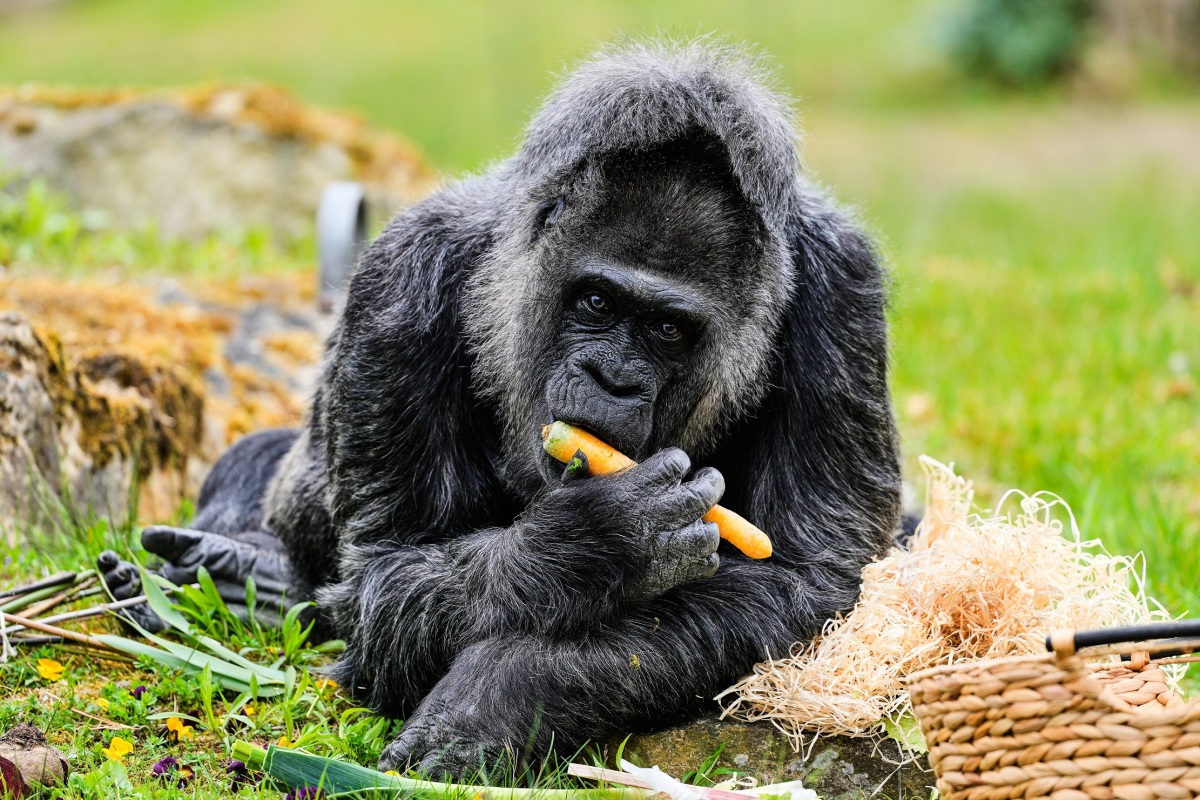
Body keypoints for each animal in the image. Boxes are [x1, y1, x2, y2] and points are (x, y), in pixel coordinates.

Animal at [99, 41, 902, 776]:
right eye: (596, 302)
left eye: (668, 330)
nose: (612, 378)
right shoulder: (399, 279)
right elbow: (388, 569)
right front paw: (584, 548)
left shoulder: (844, 289)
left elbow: (795, 575)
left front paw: (506, 689)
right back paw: (231, 573)